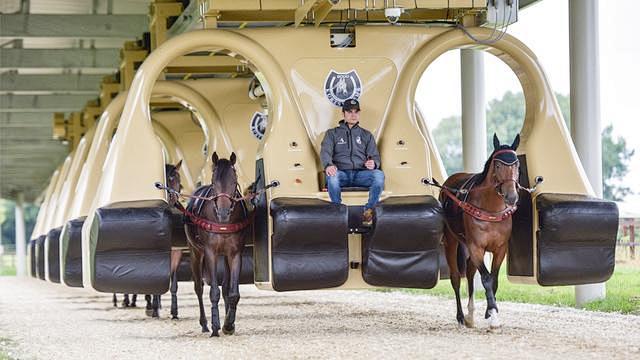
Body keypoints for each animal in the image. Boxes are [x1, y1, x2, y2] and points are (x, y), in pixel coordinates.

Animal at [182, 153, 250, 338]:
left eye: (234, 181)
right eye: (214, 183)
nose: (223, 213)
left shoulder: (235, 253)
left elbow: (233, 293)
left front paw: (229, 324)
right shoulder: (210, 252)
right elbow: (214, 291)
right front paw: (215, 326)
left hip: (224, 255)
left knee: (225, 287)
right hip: (195, 252)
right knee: (199, 288)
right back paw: (205, 324)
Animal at [440, 134, 524, 328]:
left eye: (517, 165)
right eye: (498, 165)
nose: (511, 196)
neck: (491, 210)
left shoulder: (500, 249)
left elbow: (494, 279)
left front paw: (489, 312)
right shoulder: (476, 247)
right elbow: (486, 278)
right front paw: (493, 314)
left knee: (470, 272)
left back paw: (470, 315)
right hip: (451, 241)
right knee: (456, 277)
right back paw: (461, 317)